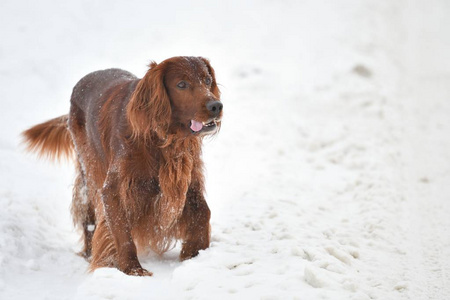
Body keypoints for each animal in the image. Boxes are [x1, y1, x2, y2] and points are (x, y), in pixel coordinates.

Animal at [22, 56, 223, 276]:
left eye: (207, 80)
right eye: (181, 84)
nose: (216, 106)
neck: (161, 138)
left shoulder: (186, 177)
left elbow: (204, 212)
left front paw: (196, 254)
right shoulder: (115, 187)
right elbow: (122, 232)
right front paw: (132, 269)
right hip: (89, 169)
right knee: (89, 212)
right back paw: (89, 253)